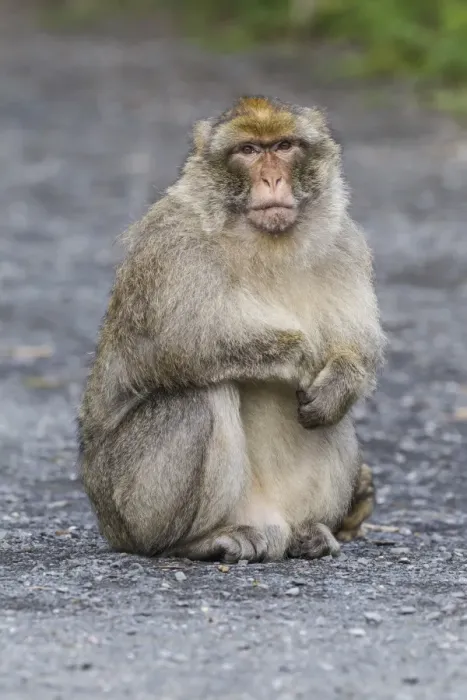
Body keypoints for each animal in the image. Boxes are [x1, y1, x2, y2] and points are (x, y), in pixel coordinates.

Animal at [78, 95, 385, 563]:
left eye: (284, 146)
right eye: (249, 151)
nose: (273, 178)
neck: (264, 244)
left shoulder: (345, 244)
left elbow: (357, 347)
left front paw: (342, 378)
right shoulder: (171, 246)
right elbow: (180, 345)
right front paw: (300, 355)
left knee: (336, 420)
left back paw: (310, 533)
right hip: (130, 508)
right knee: (198, 398)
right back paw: (195, 542)